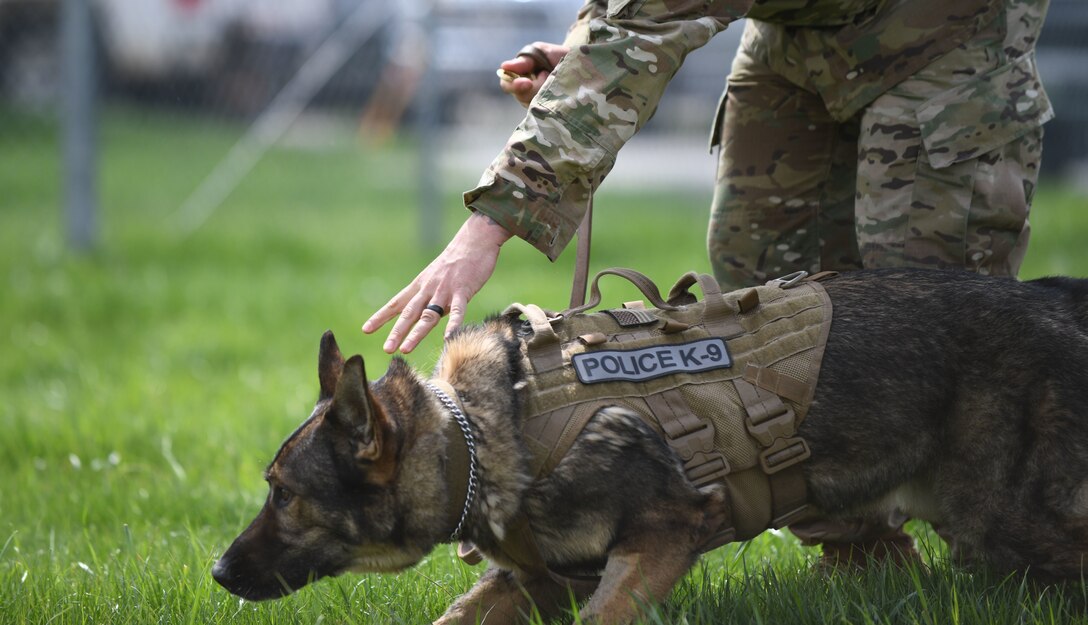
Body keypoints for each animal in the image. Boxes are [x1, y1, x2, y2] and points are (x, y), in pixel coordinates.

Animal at [209, 271, 1088, 625]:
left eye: (284, 493)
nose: (216, 571)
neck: (482, 437)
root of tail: (1049, 293)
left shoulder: (661, 538)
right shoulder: (530, 582)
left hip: (1004, 520)